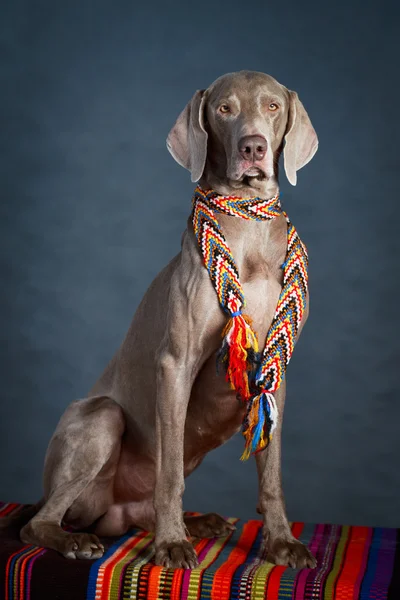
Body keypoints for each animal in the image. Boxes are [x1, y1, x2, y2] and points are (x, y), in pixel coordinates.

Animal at [9, 69, 318, 568]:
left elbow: (271, 472)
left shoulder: (274, 367)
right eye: (224, 109)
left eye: (273, 106)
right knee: (38, 521)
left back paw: (203, 522)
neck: (247, 224)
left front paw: (281, 541)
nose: (253, 147)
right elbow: (169, 471)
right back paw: (80, 540)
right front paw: (172, 544)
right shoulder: (175, 363)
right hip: (101, 419)